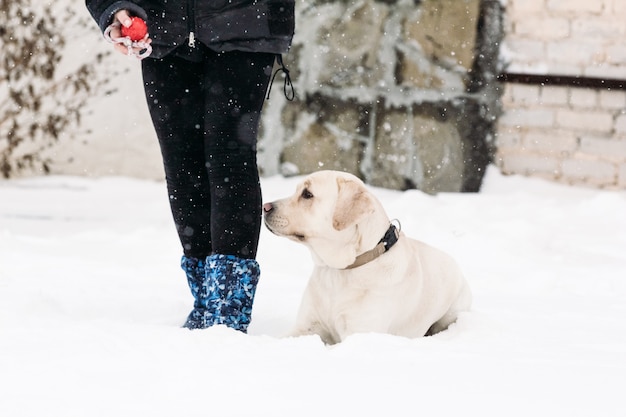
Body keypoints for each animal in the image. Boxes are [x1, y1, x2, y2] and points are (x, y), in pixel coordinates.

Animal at [260, 169, 470, 344]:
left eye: (307, 194)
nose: (265, 207)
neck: (341, 269)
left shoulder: (359, 333)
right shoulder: (306, 327)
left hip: (453, 312)